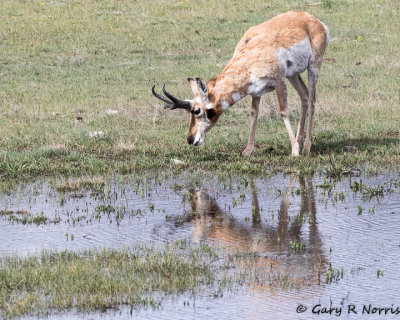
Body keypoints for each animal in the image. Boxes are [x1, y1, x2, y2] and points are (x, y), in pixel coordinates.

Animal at [152, 10, 328, 155]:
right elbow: (254, 114)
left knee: (312, 99)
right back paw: (300, 140)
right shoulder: (256, 92)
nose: (190, 139)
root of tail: (312, 19)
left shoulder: (279, 82)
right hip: (293, 75)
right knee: (304, 96)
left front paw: (294, 151)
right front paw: (247, 151)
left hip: (313, 67)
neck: (249, 59)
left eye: (197, 111)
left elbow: (283, 112)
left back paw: (305, 147)